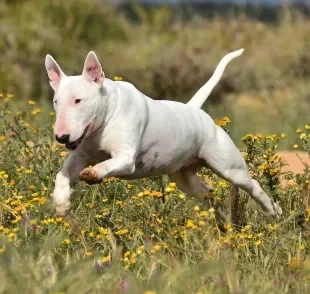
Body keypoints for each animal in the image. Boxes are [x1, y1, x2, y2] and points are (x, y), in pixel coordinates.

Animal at [45, 50, 280, 220]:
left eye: (78, 100)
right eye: (56, 101)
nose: (61, 137)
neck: (103, 121)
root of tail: (194, 110)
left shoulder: (126, 158)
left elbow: (107, 164)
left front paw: (93, 173)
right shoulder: (80, 155)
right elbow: (62, 174)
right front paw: (61, 202)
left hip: (229, 167)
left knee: (252, 185)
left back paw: (273, 211)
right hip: (184, 178)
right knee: (208, 195)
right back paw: (223, 223)